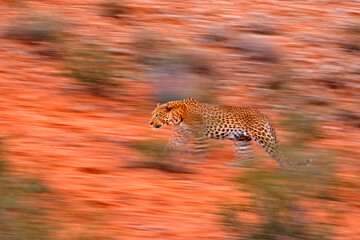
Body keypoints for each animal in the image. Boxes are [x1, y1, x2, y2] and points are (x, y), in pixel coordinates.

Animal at [149, 97, 310, 167]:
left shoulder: (199, 135)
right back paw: (237, 165)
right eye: (153, 114)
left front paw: (194, 161)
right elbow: (170, 147)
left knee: (276, 152)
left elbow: (198, 150)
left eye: (157, 115)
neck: (177, 116)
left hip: (262, 135)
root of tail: (264, 115)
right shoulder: (180, 135)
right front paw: (160, 158)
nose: (150, 123)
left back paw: (286, 169)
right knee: (248, 157)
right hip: (241, 139)